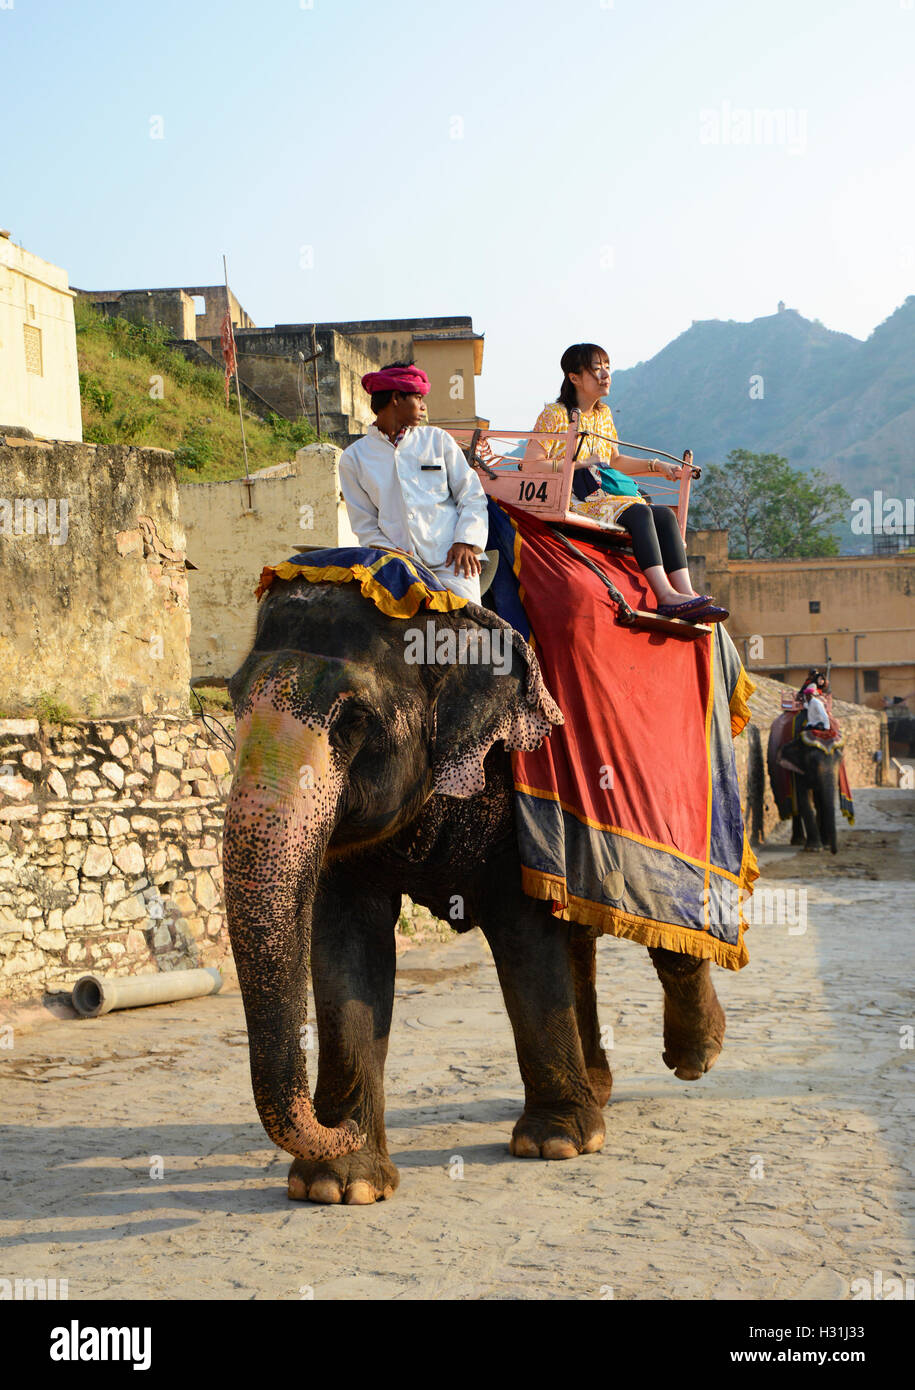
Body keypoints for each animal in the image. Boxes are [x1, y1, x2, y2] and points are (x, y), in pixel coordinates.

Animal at [222, 577, 728, 1205]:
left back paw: (694, 1059)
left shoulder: (517, 790)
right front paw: (339, 1183)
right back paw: (600, 1090)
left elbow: (525, 935)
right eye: (232, 700)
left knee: (664, 919)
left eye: (354, 718)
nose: (331, 1125)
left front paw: (555, 1144)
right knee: (578, 938)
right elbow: (345, 947)